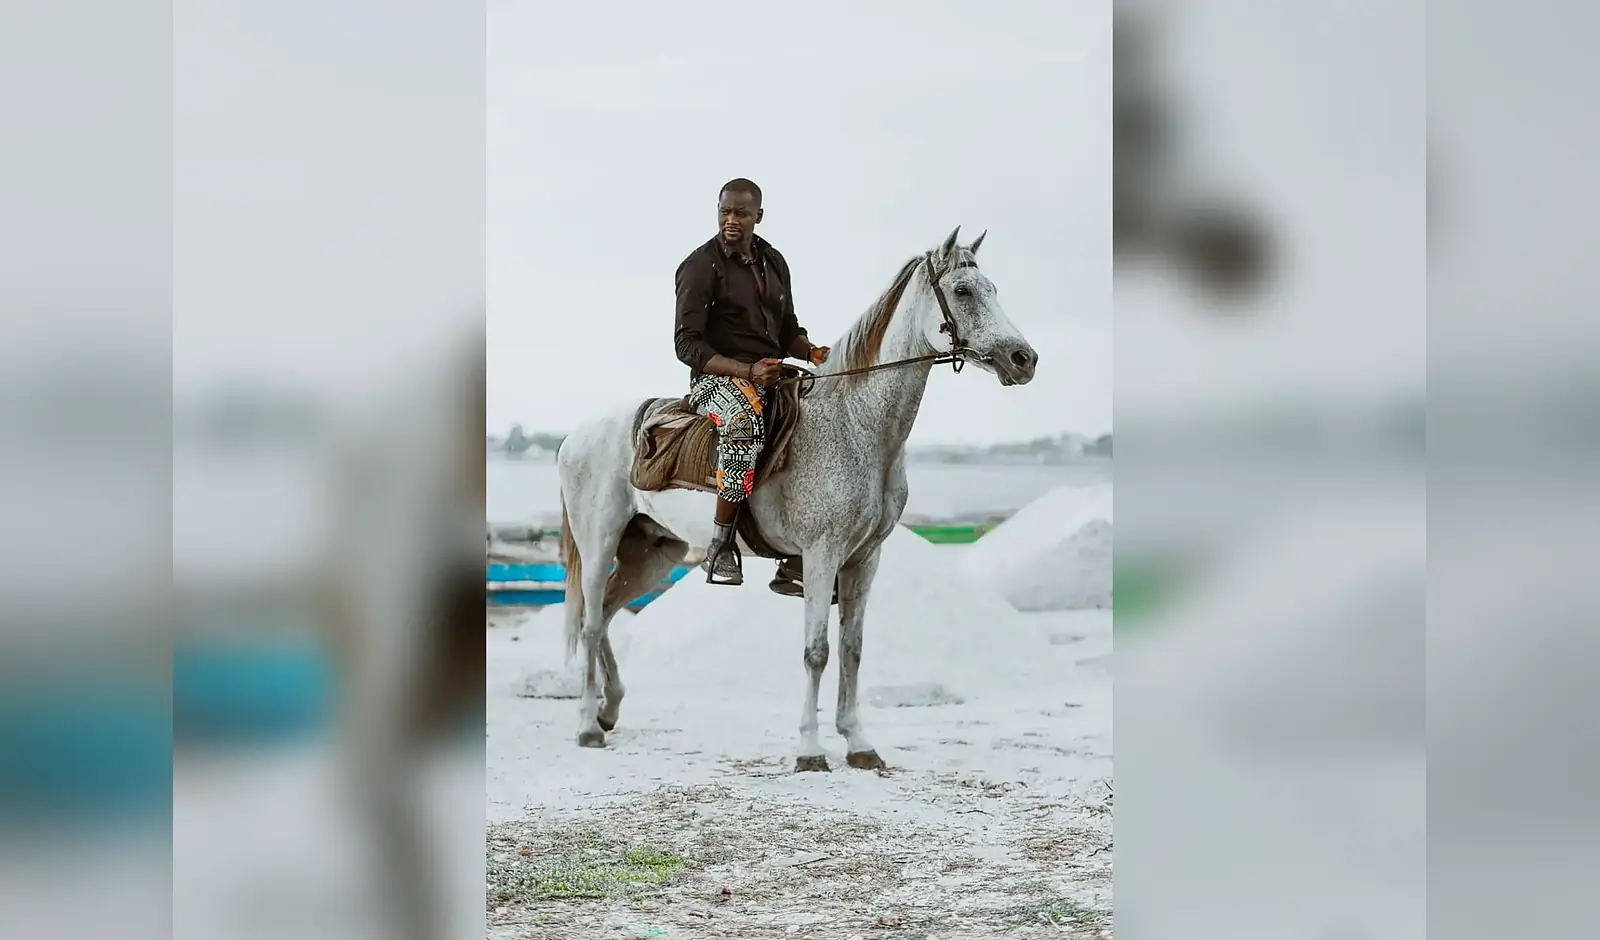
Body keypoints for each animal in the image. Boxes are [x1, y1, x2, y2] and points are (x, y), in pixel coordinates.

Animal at [556, 226, 1038, 772]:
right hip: (599, 542)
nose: (1024, 359)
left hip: (654, 552)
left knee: (608, 612)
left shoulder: (863, 560)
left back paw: (609, 710)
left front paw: (858, 743)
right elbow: (817, 651)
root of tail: (577, 436)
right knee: (590, 622)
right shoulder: (821, 555)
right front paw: (810, 750)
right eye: (962, 291)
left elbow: (852, 649)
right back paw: (586, 725)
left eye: (992, 289)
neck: (856, 425)